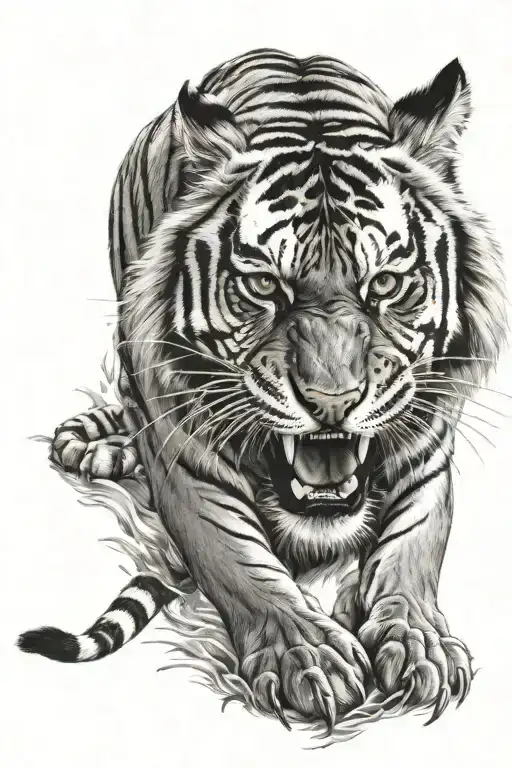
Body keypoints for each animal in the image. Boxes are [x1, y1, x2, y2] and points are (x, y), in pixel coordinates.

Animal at [18, 48, 507, 732]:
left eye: (385, 284)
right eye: (264, 286)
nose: (333, 401)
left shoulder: (429, 437)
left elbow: (412, 544)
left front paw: (419, 642)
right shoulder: (181, 443)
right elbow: (235, 556)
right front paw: (309, 658)